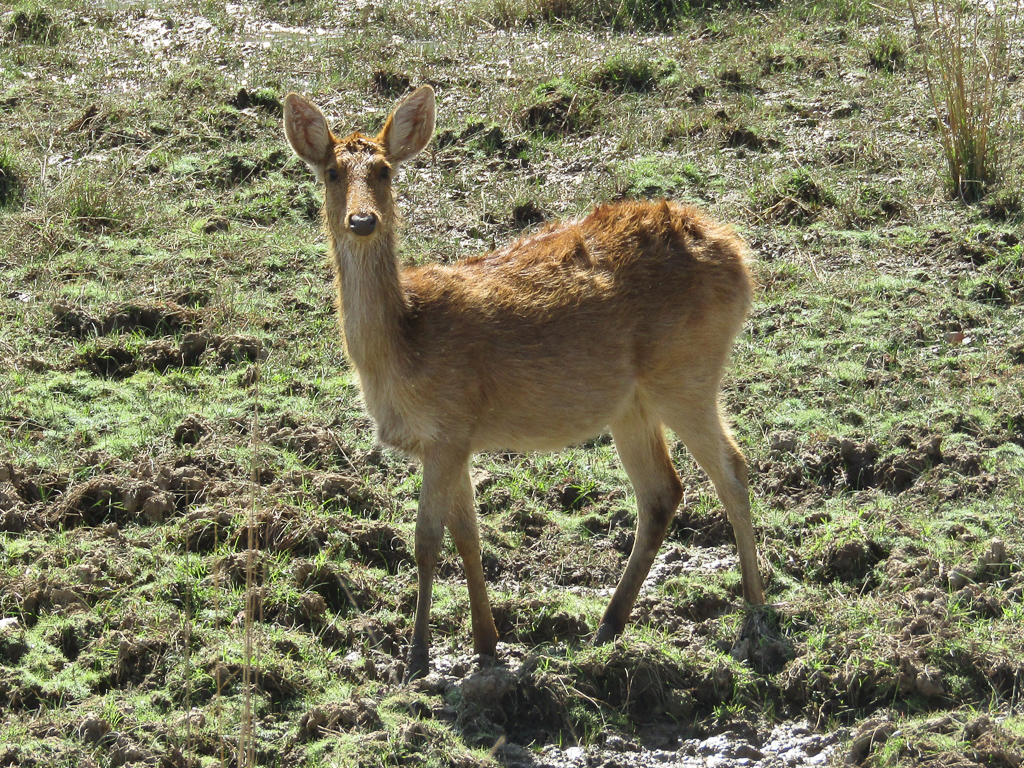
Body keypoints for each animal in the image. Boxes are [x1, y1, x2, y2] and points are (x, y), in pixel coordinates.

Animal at [284, 83, 765, 684]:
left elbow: (426, 540)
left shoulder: (448, 425)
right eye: (330, 171)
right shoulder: (455, 438)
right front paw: (487, 642)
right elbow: (468, 537)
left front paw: (416, 659)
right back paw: (608, 624)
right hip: (632, 403)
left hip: (688, 372)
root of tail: (739, 256)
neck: (402, 346)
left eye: (385, 170)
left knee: (733, 469)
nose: (363, 220)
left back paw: (754, 614)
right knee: (662, 492)